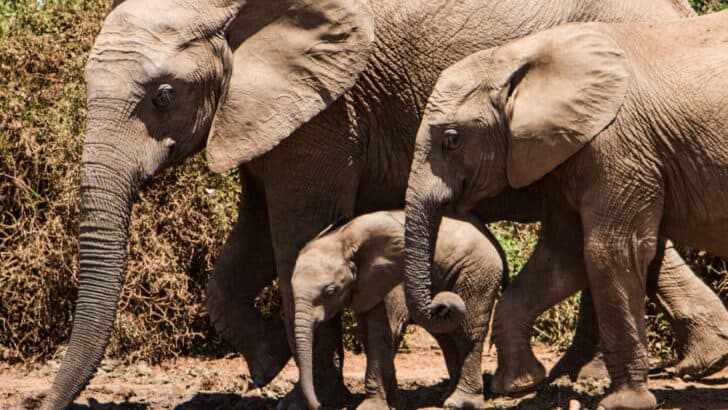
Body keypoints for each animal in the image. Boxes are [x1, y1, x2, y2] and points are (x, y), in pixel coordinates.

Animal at [291, 210, 506, 409]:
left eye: (330, 291)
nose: (319, 405)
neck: (342, 238)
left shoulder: (394, 280)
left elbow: (381, 334)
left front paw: (372, 406)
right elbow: (369, 334)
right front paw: (397, 403)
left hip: (478, 272)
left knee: (466, 332)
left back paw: (458, 402)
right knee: (446, 335)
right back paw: (445, 396)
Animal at [402, 10, 728, 410]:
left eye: (451, 140)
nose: (444, 303)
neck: (519, 57)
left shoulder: (618, 146)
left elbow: (609, 252)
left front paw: (622, 404)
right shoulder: (565, 151)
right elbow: (561, 257)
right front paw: (519, 384)